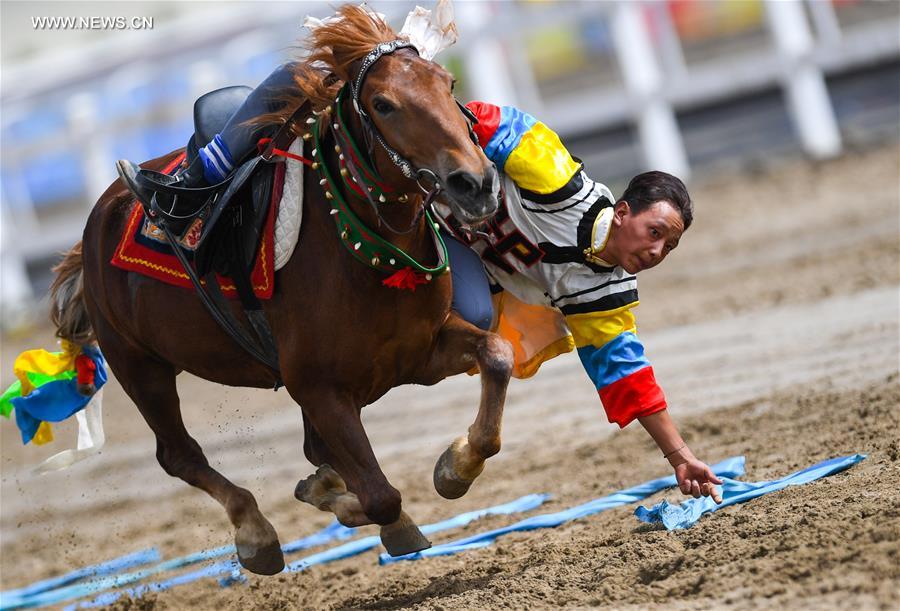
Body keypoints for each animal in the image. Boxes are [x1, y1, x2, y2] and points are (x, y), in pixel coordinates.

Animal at [49, 4, 512, 576]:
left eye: (447, 83)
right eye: (383, 104)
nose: (477, 184)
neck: (362, 253)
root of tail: (100, 215)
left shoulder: (420, 354)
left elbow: (497, 355)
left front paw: (456, 466)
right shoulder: (317, 388)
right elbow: (381, 496)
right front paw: (374, 512)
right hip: (139, 365)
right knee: (179, 455)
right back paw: (255, 534)